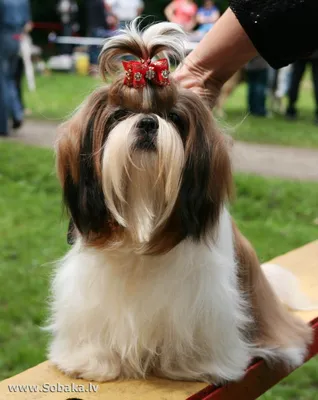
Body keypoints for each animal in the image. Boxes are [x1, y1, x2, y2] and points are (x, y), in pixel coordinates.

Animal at [47, 21, 314, 384]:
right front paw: (91, 360)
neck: (143, 208)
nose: (148, 122)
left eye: (173, 117)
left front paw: (195, 365)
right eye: (119, 115)